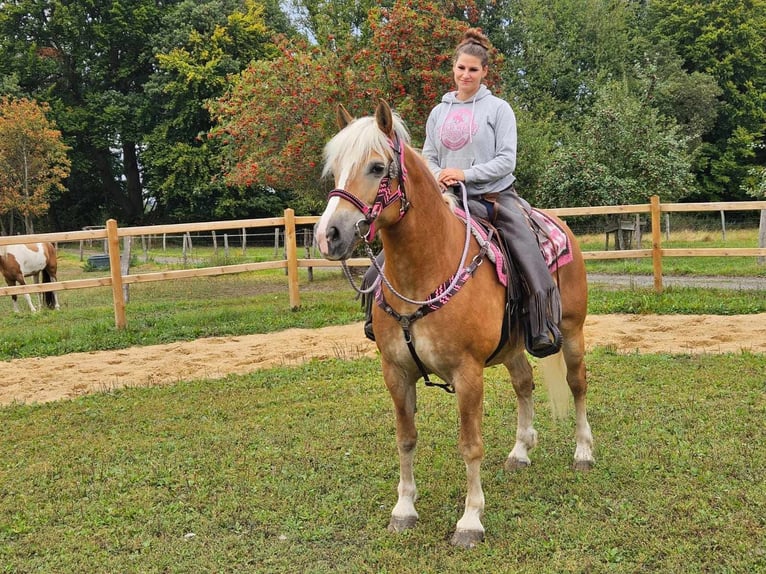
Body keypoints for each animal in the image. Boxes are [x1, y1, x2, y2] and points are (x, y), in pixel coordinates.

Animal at [316, 101, 596, 552]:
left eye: (377, 167)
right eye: (336, 167)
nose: (330, 236)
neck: (427, 269)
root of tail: (561, 226)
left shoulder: (468, 374)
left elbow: (470, 446)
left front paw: (470, 520)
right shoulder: (396, 373)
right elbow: (406, 438)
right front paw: (403, 510)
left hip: (571, 333)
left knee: (577, 384)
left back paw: (584, 452)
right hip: (512, 347)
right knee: (524, 383)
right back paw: (520, 451)